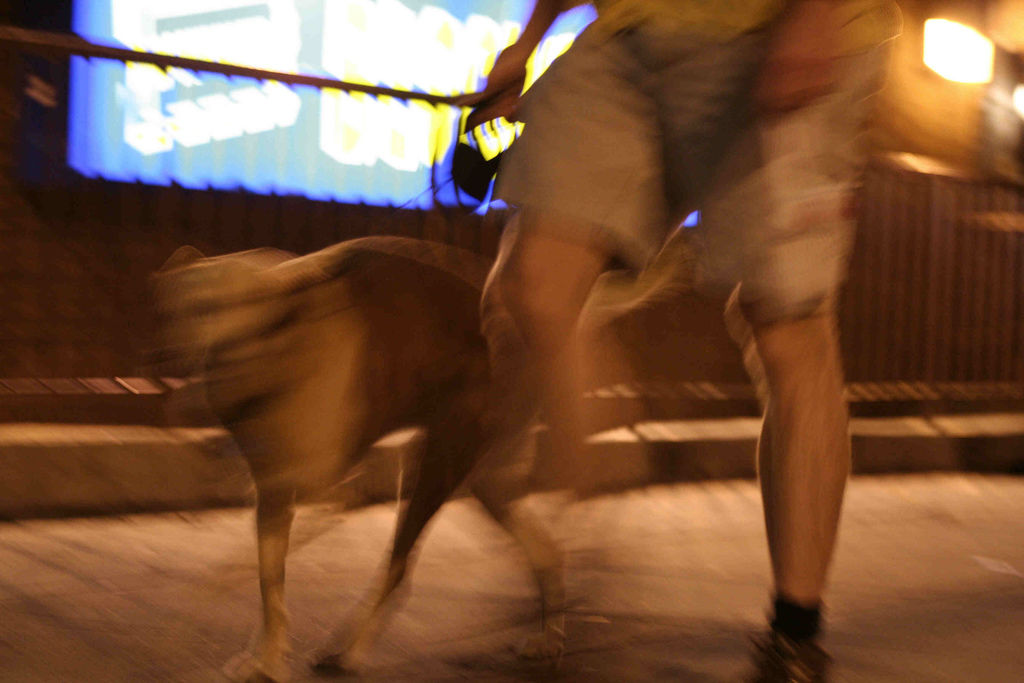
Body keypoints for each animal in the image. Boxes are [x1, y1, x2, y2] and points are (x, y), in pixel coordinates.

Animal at [153, 237, 561, 679]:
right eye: (182, 306)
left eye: (219, 307)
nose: (169, 355)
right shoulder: (272, 489)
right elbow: (268, 580)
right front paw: (267, 652)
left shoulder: (311, 483)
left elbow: (273, 574)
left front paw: (268, 657)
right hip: (485, 480)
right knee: (546, 550)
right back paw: (548, 637)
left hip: (434, 467)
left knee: (398, 566)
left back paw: (345, 650)